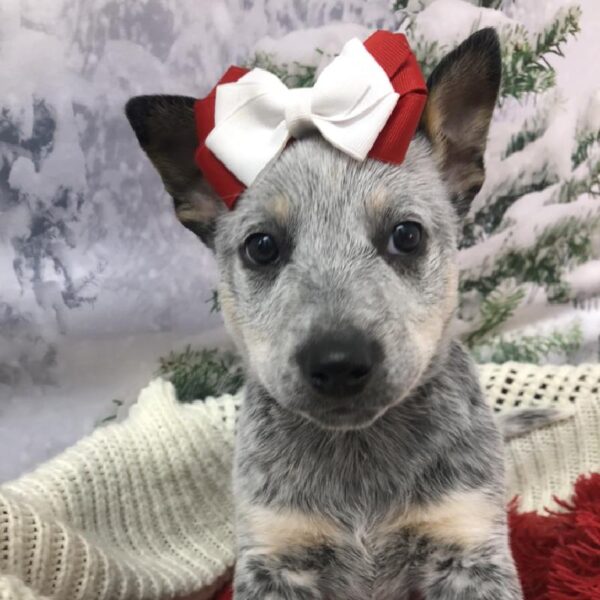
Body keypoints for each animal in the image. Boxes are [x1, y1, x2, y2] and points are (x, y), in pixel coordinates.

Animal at [127, 27, 524, 600]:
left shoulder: (469, 539)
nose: (338, 362)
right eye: (262, 246)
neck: (357, 454)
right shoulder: (274, 553)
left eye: (406, 235)